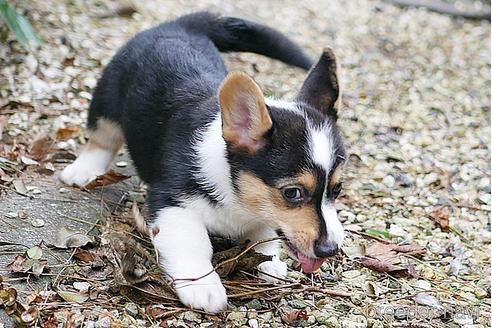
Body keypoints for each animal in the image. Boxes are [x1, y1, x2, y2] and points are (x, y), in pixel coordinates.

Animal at [60, 10, 346, 312]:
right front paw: (203, 286)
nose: (330, 250)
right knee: (102, 137)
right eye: (292, 193)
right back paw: (83, 170)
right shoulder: (172, 203)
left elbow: (264, 233)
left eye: (337, 189)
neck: (233, 188)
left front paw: (271, 263)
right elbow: (193, 243)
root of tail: (181, 24)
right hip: (107, 101)